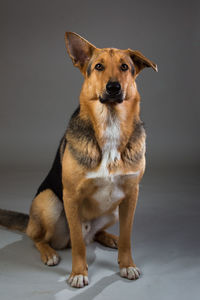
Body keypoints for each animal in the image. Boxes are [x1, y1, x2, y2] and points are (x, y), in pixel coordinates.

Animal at [0, 32, 158, 288]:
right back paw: (49, 253)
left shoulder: (131, 195)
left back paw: (109, 238)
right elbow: (78, 245)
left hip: (115, 210)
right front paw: (78, 273)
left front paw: (127, 264)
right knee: (40, 238)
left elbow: (127, 237)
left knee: (95, 235)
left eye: (124, 67)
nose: (113, 87)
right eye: (98, 67)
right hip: (49, 202)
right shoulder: (71, 195)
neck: (111, 124)